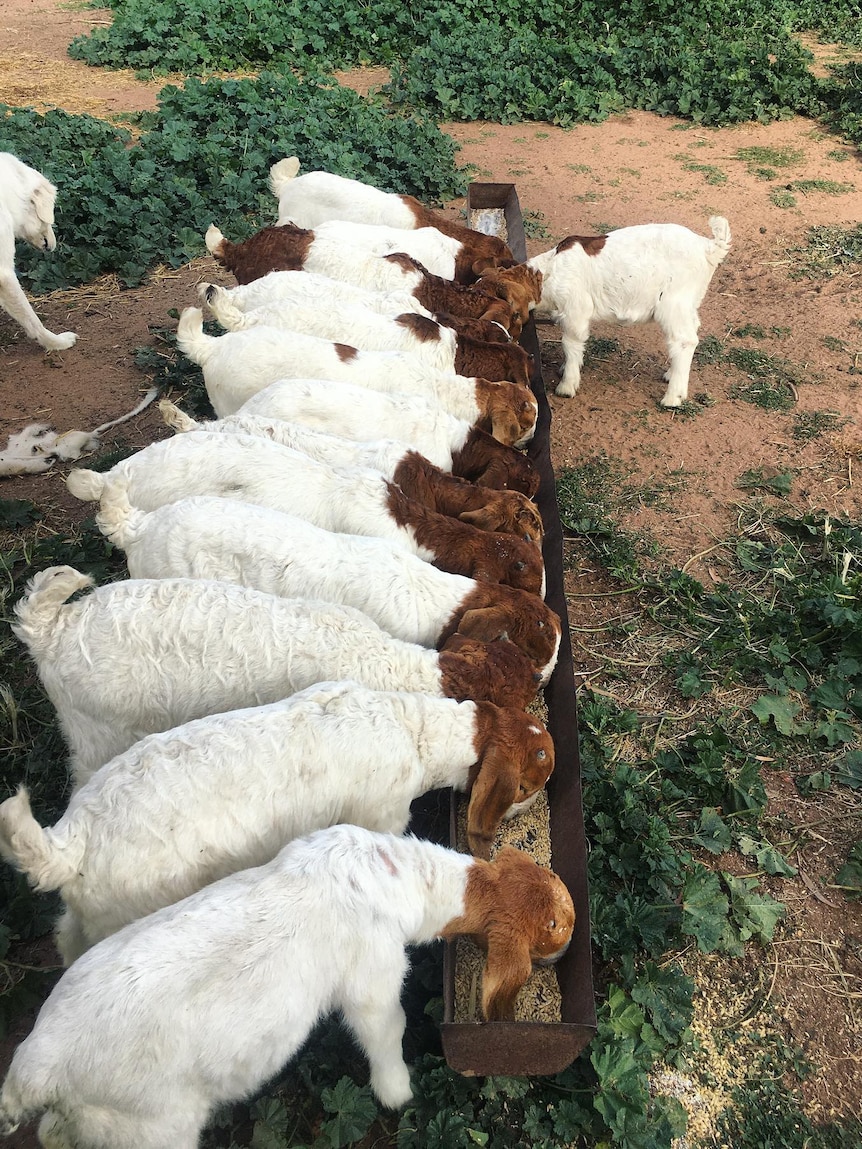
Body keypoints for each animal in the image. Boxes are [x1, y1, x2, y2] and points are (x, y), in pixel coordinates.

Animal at [0, 675, 553, 965]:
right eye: (528, 785)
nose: (531, 807)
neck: (413, 730)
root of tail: (71, 842)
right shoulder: (382, 815)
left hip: (92, 911)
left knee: (66, 936)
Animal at [1, 822, 581, 1144]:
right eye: (554, 928)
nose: (568, 949)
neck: (391, 876)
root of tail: (36, 1066)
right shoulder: (373, 982)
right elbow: (385, 1034)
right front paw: (398, 1095)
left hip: (97, 1118)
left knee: (54, 1133)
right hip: (149, 1127)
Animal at [530, 216, 730, 409]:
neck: (549, 270)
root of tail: (707, 246)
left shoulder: (575, 309)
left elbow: (570, 344)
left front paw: (566, 386)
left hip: (674, 302)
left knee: (684, 340)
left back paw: (673, 398)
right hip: (689, 302)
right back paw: (670, 374)